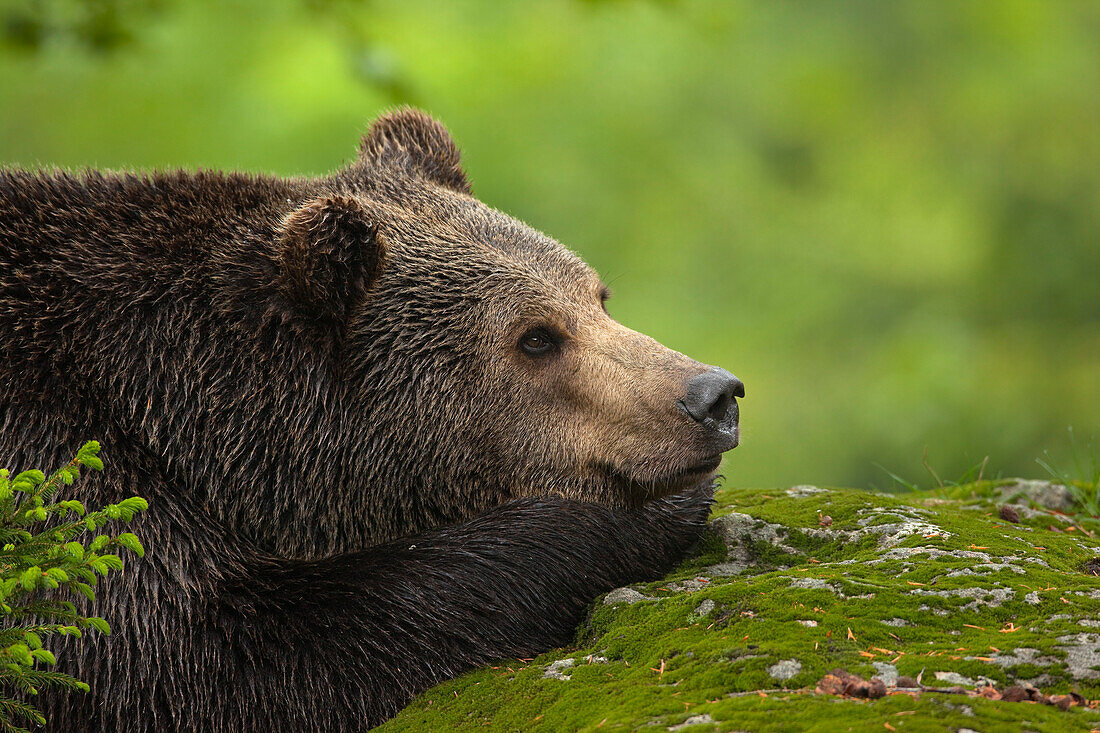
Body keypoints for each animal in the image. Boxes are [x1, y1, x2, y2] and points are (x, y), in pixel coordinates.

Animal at [0, 110, 743, 730]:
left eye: (598, 297)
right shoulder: (62, 472)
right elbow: (225, 658)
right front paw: (641, 510)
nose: (713, 396)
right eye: (535, 337)